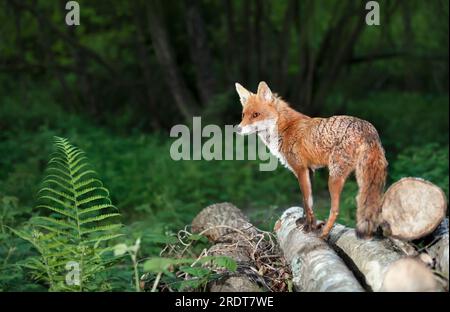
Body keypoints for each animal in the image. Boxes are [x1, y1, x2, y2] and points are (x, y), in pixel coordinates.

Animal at [234, 81, 388, 238]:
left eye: (256, 114)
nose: (237, 129)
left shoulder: (300, 169)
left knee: (336, 210)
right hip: (365, 177)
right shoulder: (309, 170)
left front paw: (309, 227)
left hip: (334, 179)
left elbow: (307, 202)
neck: (284, 128)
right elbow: (307, 202)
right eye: (243, 115)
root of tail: (368, 128)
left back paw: (324, 234)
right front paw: (306, 222)